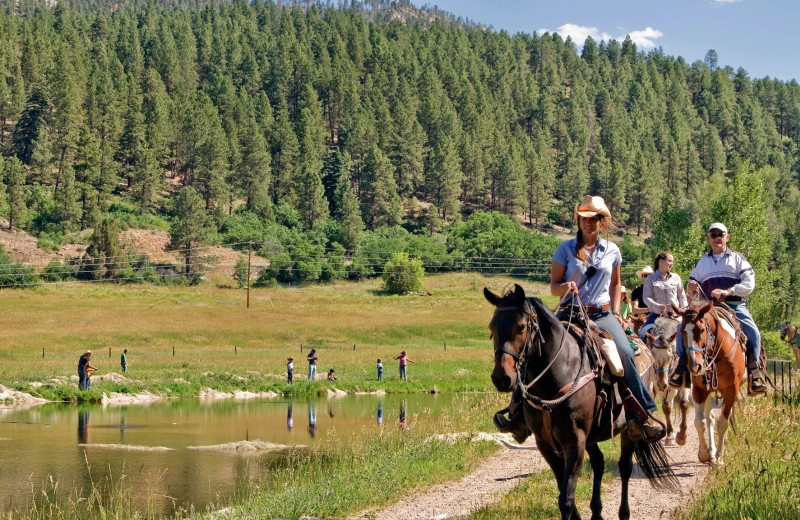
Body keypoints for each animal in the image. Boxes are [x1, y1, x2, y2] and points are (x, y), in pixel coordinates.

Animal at [484, 284, 680, 520]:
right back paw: (597, 512)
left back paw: (624, 512)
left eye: (521, 327)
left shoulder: (575, 440)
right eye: (492, 327)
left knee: (624, 467)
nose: (501, 378)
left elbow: (566, 499)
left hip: (629, 430)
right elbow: (564, 490)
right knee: (599, 463)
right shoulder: (545, 443)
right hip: (591, 436)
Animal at [640, 316, 692, 446]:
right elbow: (666, 407)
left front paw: (682, 436)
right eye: (652, 355)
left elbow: (684, 403)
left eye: (671, 355)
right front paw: (670, 435)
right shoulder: (658, 384)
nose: (662, 383)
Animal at [680, 298, 748, 466]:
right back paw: (711, 452)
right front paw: (705, 454)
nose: (695, 366)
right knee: (709, 418)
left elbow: (722, 422)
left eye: (702, 330)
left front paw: (720, 457)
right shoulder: (699, 390)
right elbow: (700, 422)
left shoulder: (731, 390)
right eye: (682, 331)